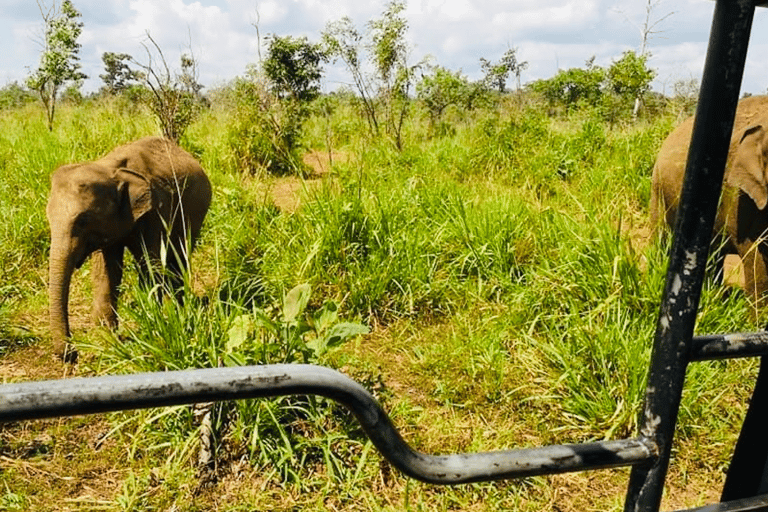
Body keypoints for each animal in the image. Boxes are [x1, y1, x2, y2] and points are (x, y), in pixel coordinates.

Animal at [46, 136, 212, 360]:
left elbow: (150, 263)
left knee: (179, 256)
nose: (71, 355)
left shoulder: (156, 210)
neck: (108, 168)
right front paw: (108, 338)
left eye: (83, 221)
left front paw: (155, 322)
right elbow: (107, 273)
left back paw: (178, 308)